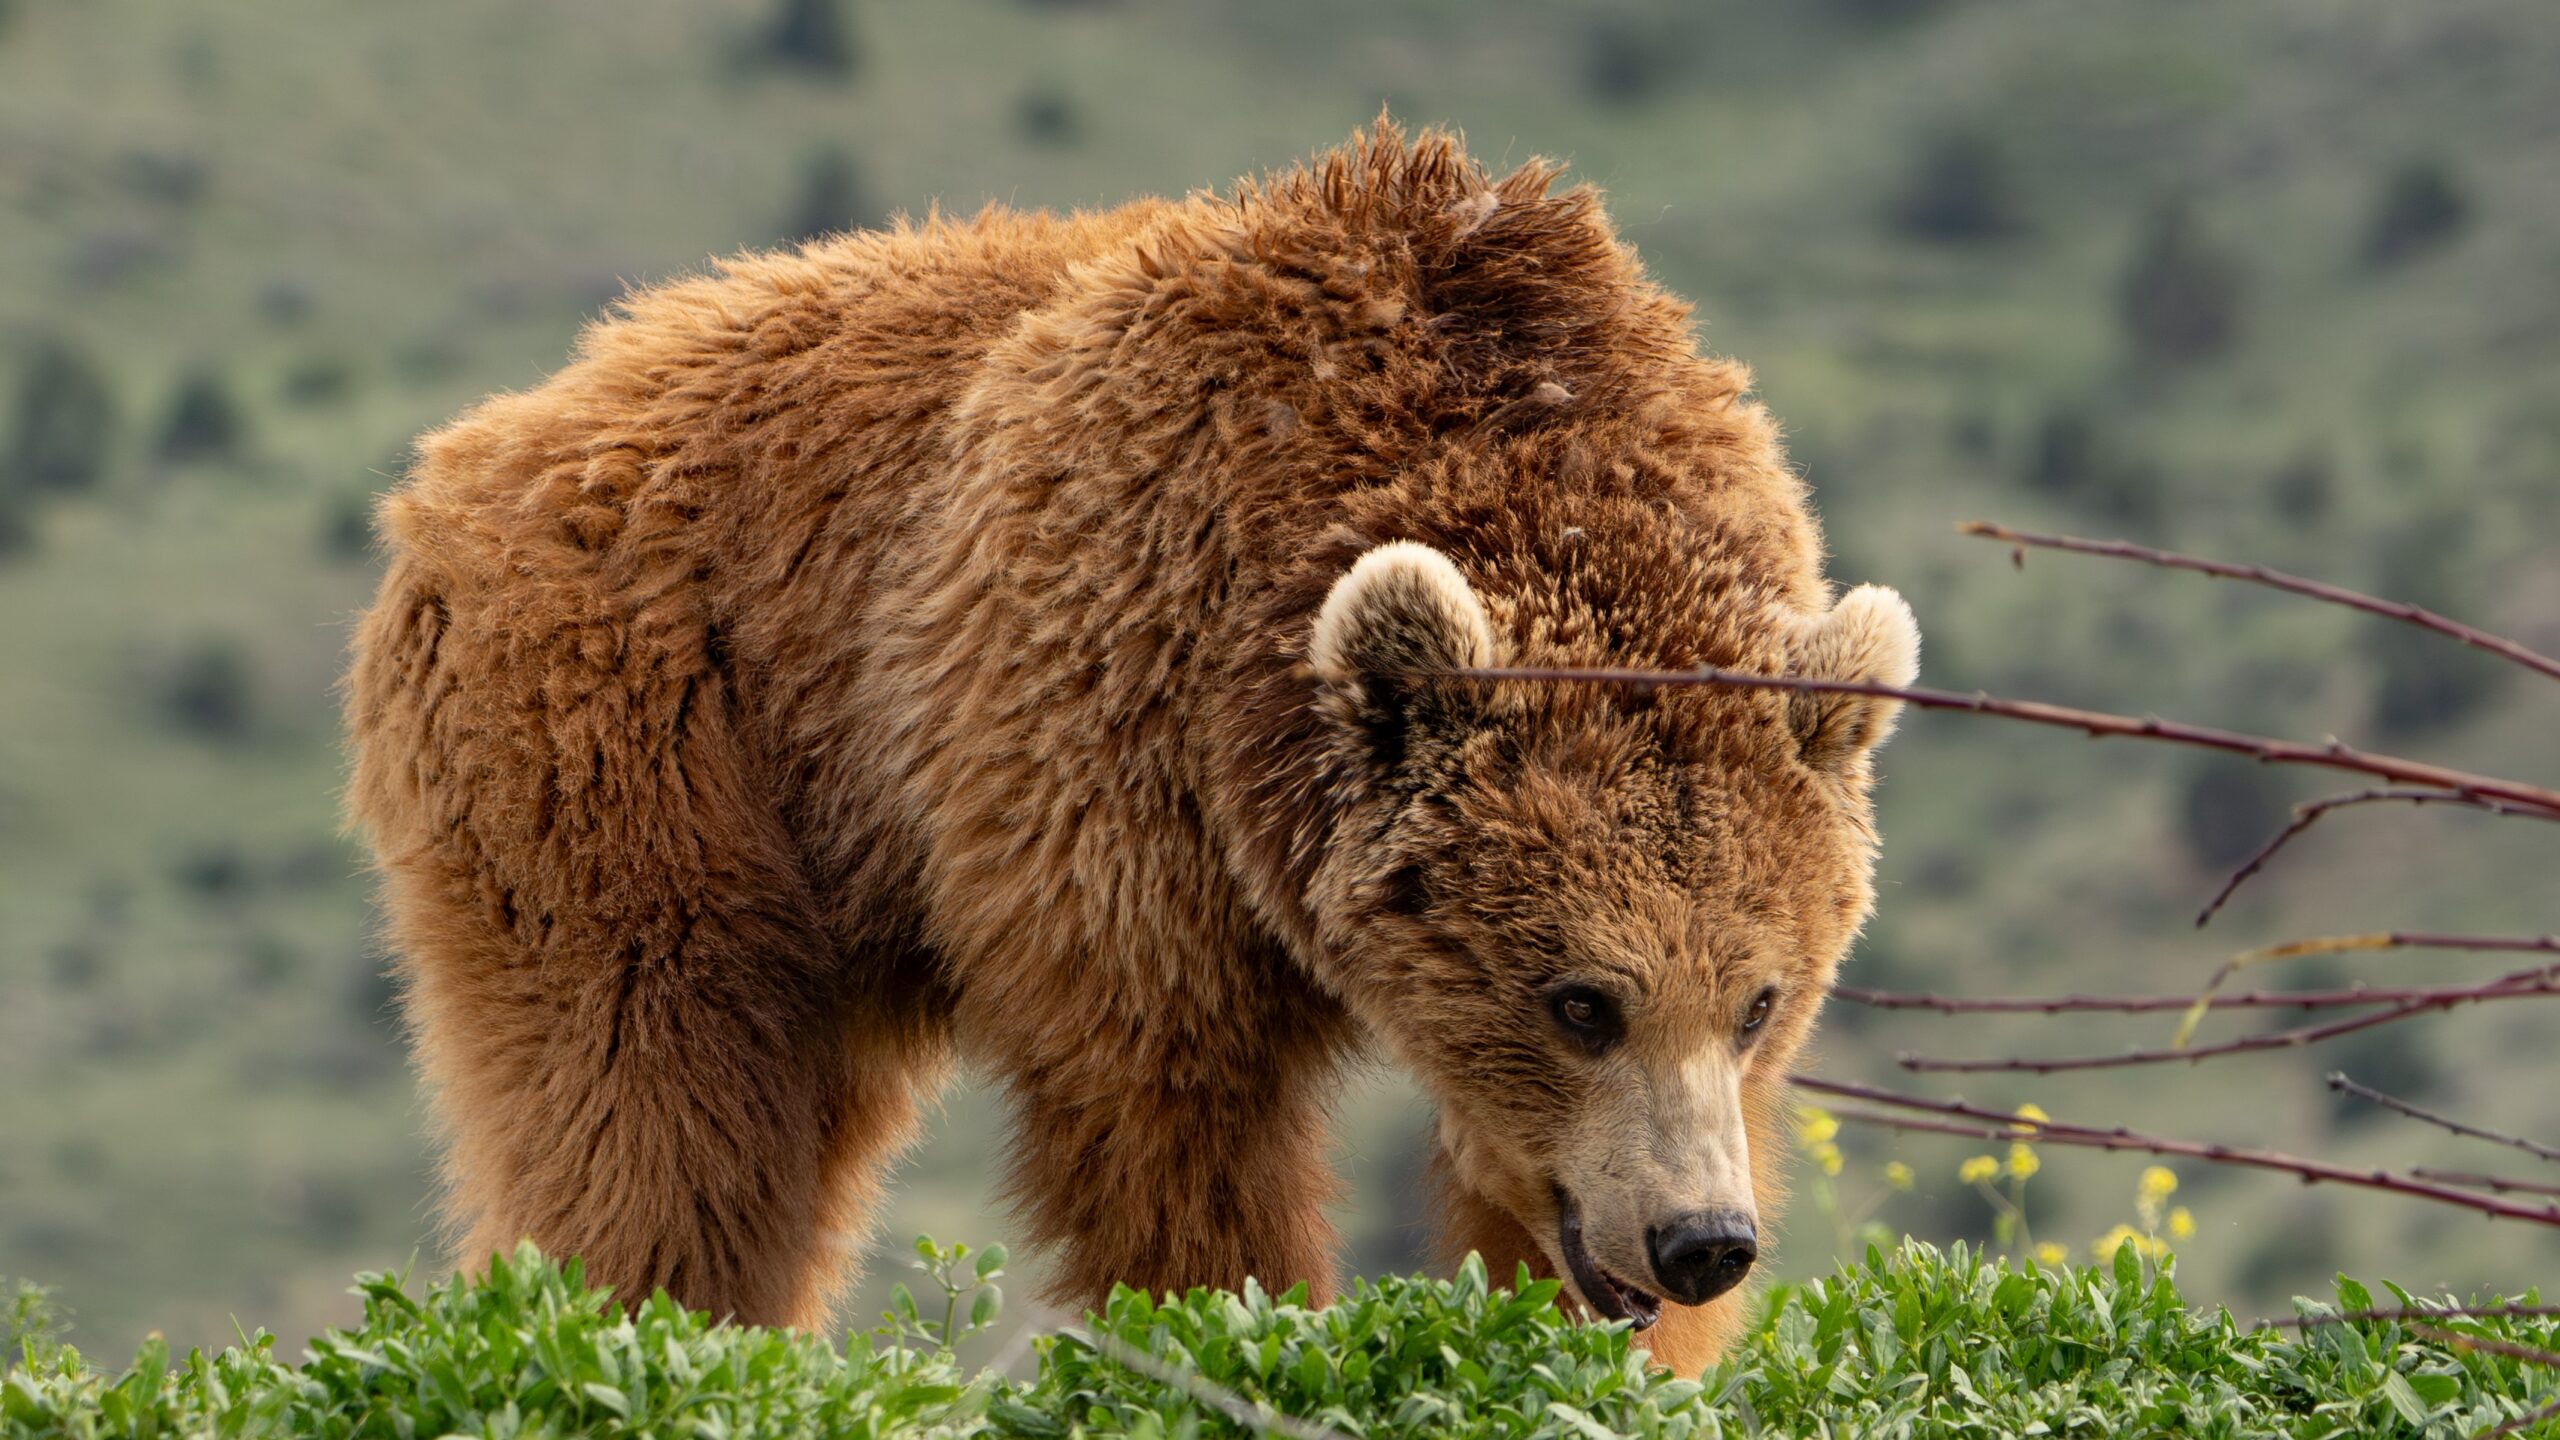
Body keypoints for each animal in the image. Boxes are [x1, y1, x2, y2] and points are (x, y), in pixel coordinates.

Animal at [343, 121, 1919, 1375]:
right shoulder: (1114, 736)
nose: (1700, 1240)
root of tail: (484, 442)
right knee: (651, 1101)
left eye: (1762, 999)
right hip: (649, 737)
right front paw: (1240, 1331)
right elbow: (1181, 1135)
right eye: (1582, 1000)